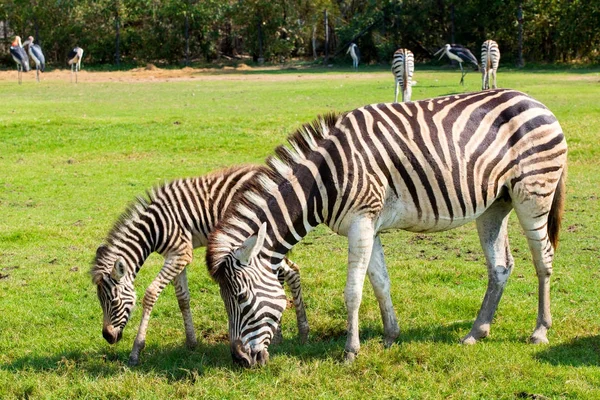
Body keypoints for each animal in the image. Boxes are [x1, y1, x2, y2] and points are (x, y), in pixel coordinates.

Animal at [94, 165, 312, 366]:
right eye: (99, 301)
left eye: (114, 302)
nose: (108, 337)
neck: (155, 227)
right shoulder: (176, 255)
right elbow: (182, 298)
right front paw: (191, 342)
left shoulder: (180, 253)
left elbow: (151, 293)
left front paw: (136, 351)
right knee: (291, 271)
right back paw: (297, 333)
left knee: (288, 272)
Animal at [206, 89, 568, 368]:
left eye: (241, 298)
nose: (240, 360)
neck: (323, 181)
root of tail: (535, 101)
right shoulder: (370, 226)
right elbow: (381, 284)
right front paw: (390, 337)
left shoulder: (361, 222)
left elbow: (353, 291)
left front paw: (350, 351)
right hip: (496, 204)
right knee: (501, 266)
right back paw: (476, 332)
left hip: (533, 193)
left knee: (544, 260)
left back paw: (539, 331)